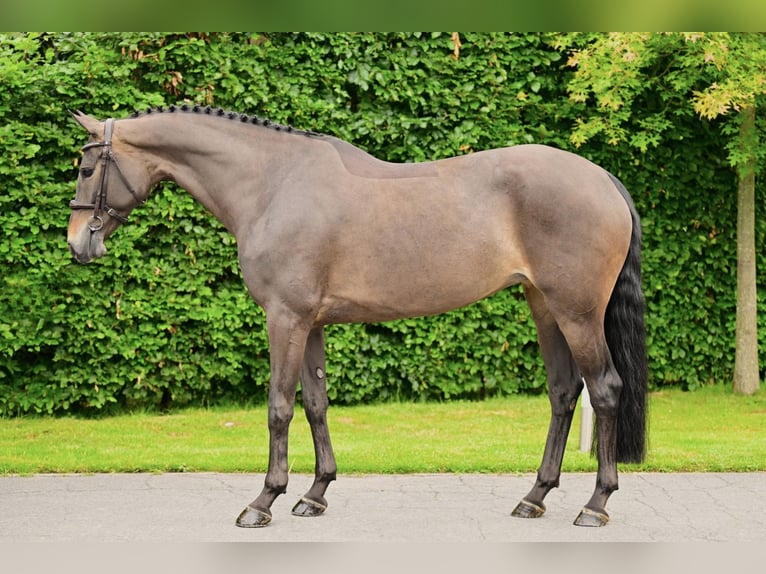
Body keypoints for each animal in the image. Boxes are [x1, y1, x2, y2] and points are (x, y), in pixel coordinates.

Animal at [67, 105, 647, 528]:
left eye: (87, 168)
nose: (78, 244)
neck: (273, 184)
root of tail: (604, 179)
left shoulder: (285, 319)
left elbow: (279, 407)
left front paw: (264, 500)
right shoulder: (310, 323)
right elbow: (316, 403)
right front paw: (315, 493)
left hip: (577, 313)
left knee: (605, 390)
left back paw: (595, 504)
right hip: (544, 307)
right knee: (563, 393)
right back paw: (535, 496)